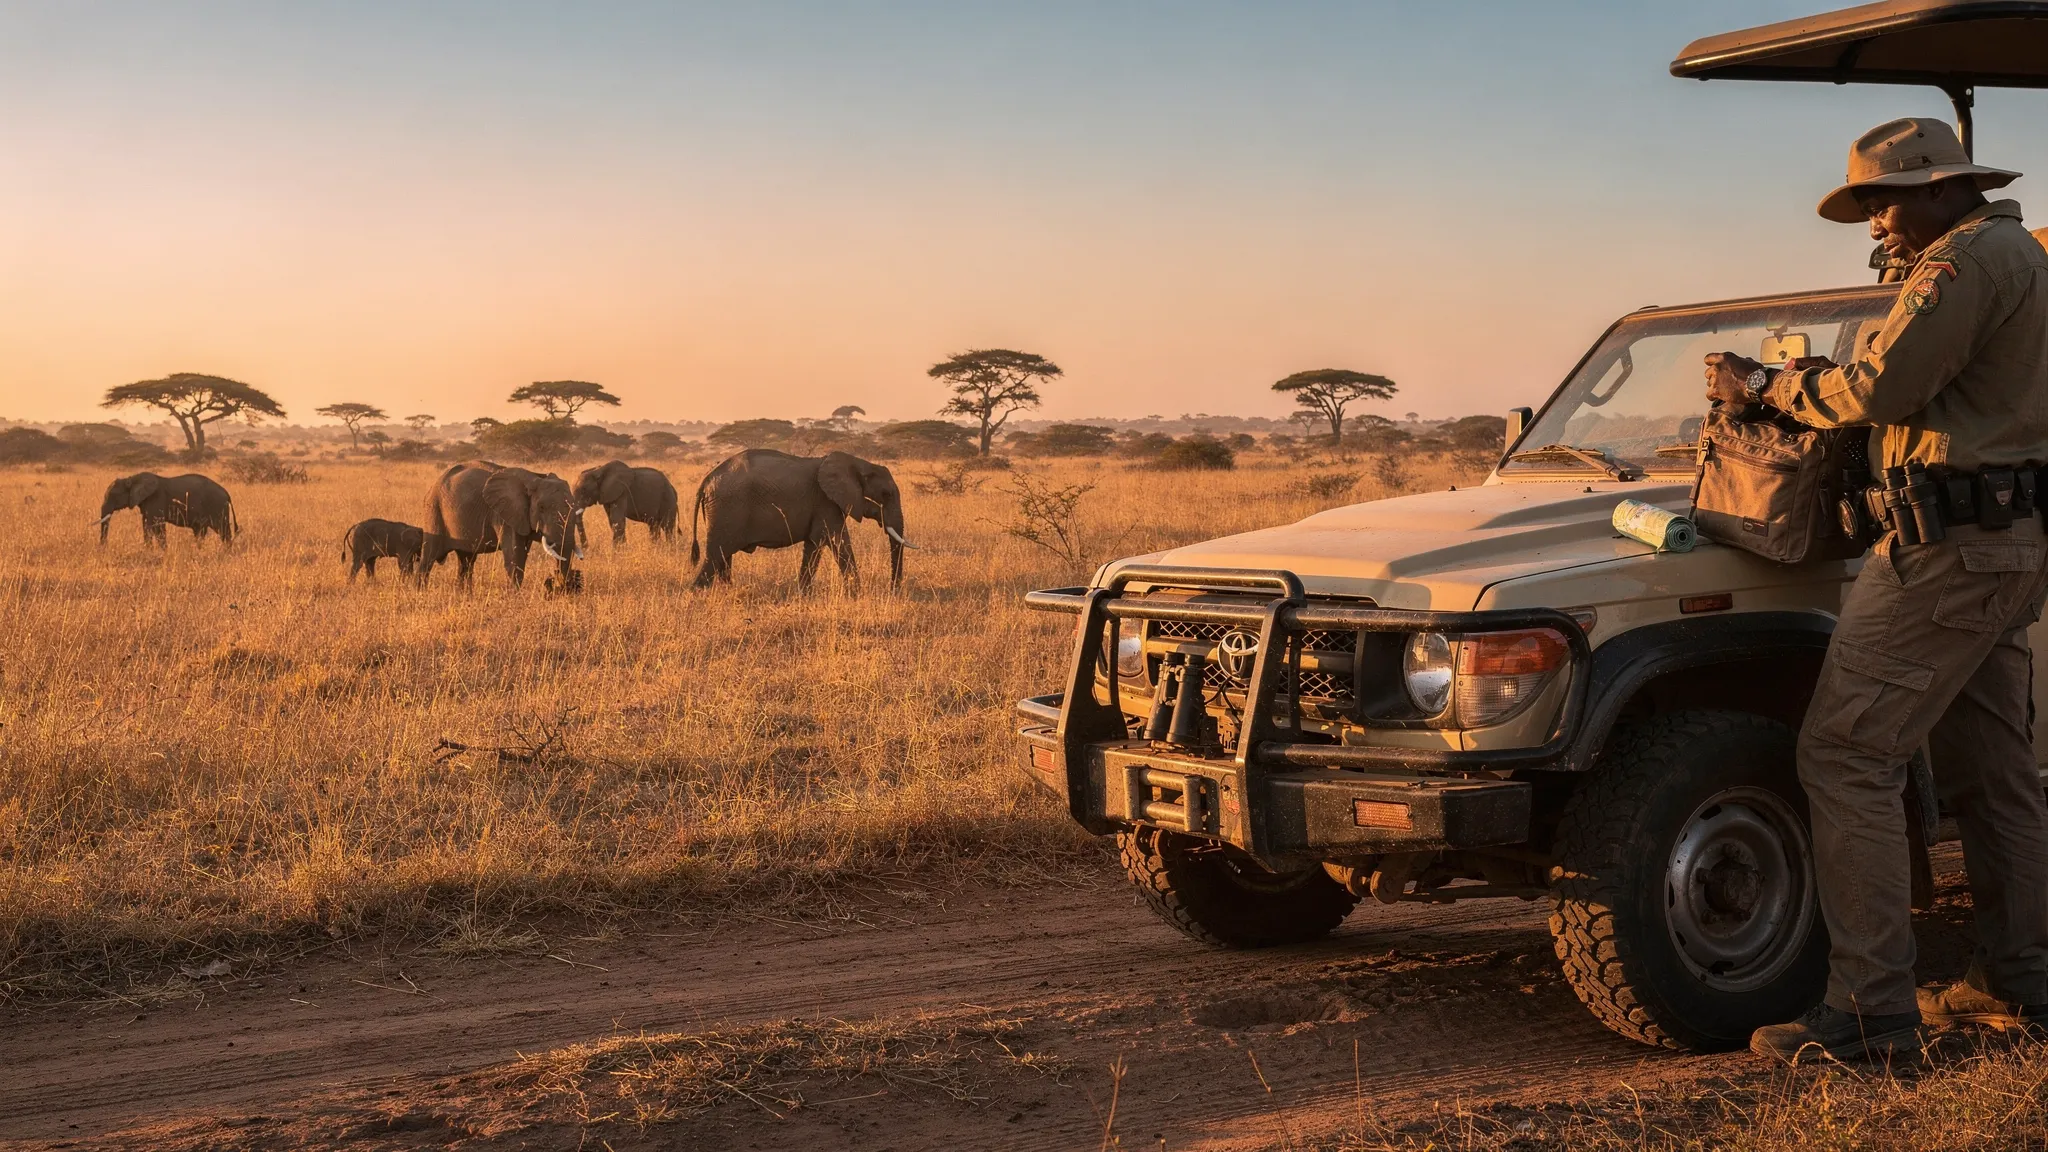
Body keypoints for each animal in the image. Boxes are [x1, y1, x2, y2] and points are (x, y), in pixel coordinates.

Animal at [97, 472, 236, 548]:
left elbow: (157, 526)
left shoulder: (156, 499)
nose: (104, 549)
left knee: (223, 531)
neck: (131, 479)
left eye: (113, 495)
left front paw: (163, 551)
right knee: (201, 532)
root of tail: (227, 494)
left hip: (218, 507)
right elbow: (146, 526)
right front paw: (148, 550)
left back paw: (227, 551)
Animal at [423, 461, 583, 589]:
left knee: (466, 562)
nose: (561, 587)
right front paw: (514, 598)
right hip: (434, 510)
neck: (534, 478)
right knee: (428, 558)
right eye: (541, 507)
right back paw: (421, 593)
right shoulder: (504, 514)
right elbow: (515, 558)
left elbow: (521, 558)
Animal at [689, 449, 912, 591]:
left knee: (723, 556)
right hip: (727, 508)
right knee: (716, 555)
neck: (858, 462)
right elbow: (837, 540)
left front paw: (803, 594)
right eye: (886, 494)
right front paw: (857, 594)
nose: (894, 590)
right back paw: (697, 592)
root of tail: (706, 480)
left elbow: (814, 545)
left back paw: (727, 591)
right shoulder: (826, 501)